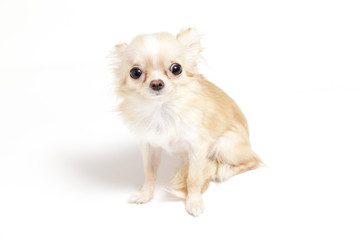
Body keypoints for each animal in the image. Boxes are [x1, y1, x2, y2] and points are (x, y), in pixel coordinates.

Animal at [112, 28, 262, 218]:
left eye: (176, 68)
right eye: (135, 73)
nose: (156, 83)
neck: (162, 110)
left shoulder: (197, 148)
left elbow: (193, 178)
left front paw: (194, 202)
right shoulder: (149, 146)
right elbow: (149, 173)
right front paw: (145, 195)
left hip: (225, 145)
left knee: (254, 160)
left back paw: (224, 172)